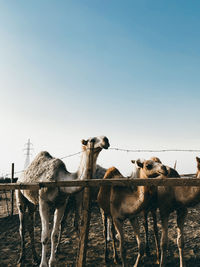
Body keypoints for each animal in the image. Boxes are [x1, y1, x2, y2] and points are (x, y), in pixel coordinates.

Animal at [15, 136, 109, 267]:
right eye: (92, 140)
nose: (106, 140)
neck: (60, 179)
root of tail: (19, 177)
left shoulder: (61, 204)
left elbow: (54, 234)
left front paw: (52, 262)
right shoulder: (43, 202)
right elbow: (45, 235)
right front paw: (43, 264)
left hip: (32, 203)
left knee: (30, 227)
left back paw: (35, 257)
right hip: (19, 195)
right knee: (22, 227)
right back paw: (21, 258)